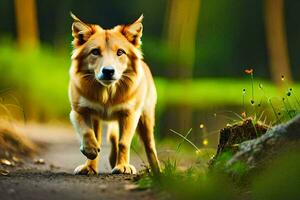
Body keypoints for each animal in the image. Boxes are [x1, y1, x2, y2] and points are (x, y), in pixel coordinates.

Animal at [69, 12, 161, 175]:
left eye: (120, 52)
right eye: (95, 51)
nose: (108, 71)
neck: (107, 93)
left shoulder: (130, 114)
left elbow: (123, 142)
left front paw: (123, 166)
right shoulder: (79, 111)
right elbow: (87, 132)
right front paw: (90, 152)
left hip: (146, 118)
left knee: (150, 146)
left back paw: (158, 171)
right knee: (105, 138)